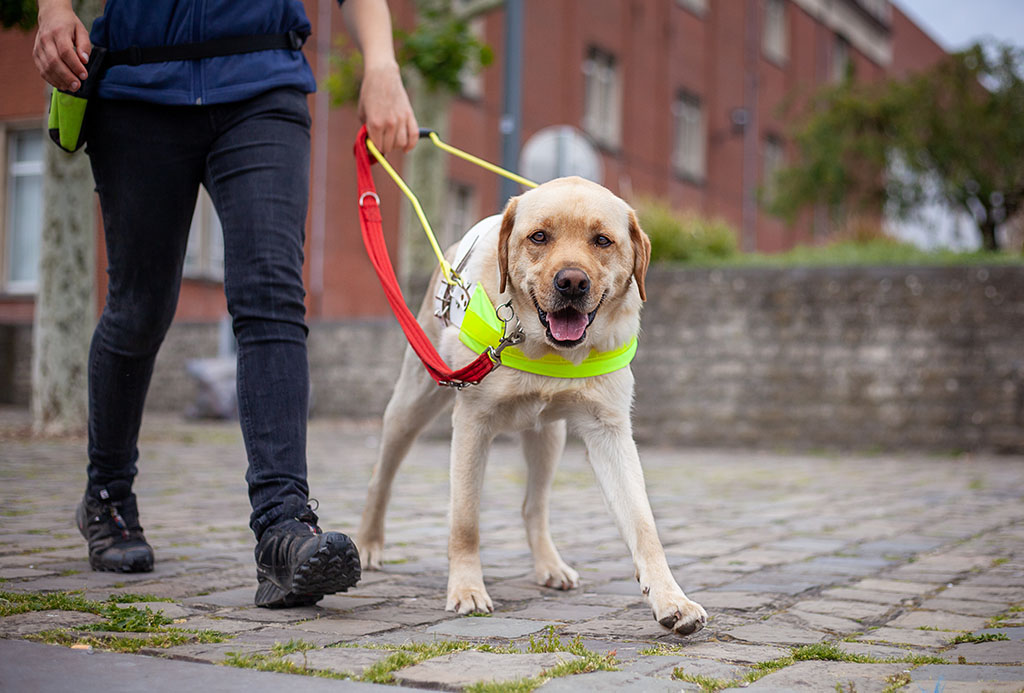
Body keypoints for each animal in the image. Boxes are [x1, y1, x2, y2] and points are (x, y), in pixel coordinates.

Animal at [364, 177, 708, 630]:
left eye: (602, 241)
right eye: (539, 237)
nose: (573, 282)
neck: (545, 349)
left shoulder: (610, 432)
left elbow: (643, 524)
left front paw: (671, 598)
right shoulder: (472, 423)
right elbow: (465, 520)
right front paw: (467, 588)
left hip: (549, 437)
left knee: (534, 506)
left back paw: (549, 565)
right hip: (411, 404)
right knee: (381, 477)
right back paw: (368, 544)